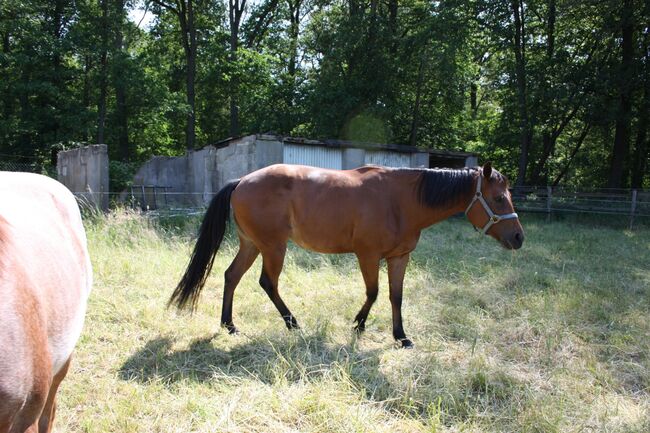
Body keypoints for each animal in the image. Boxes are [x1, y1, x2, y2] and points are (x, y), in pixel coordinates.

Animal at [171, 162, 520, 348]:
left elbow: (395, 296)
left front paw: (401, 336)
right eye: (499, 198)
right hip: (273, 247)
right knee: (268, 283)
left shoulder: (399, 258)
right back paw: (293, 324)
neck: (400, 201)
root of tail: (242, 180)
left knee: (232, 276)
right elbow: (373, 292)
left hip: (251, 245)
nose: (519, 237)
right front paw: (359, 324)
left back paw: (229, 325)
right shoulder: (367, 256)